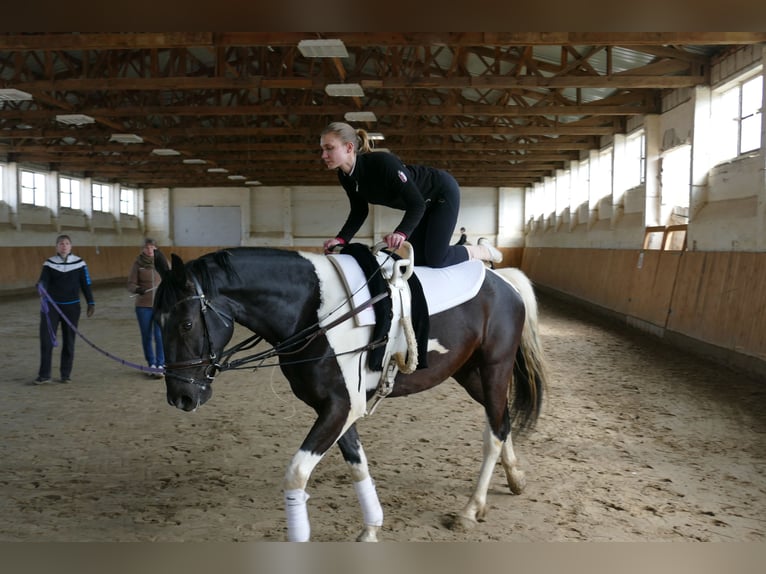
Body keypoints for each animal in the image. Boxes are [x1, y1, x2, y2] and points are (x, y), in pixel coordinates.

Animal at [153, 248, 548, 544]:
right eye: (156, 322)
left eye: (186, 323)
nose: (181, 397)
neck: (314, 310)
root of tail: (503, 280)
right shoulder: (339, 407)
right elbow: (358, 463)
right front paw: (371, 527)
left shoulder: (340, 408)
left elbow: (296, 474)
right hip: (467, 372)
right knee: (502, 420)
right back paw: (514, 479)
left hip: (494, 367)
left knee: (494, 432)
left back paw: (470, 509)